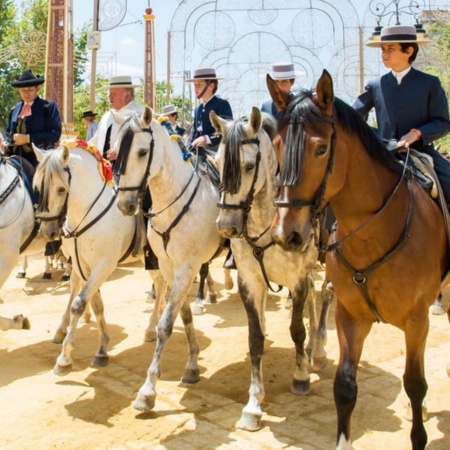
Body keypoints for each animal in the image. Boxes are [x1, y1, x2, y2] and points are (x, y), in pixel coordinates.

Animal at [33, 142, 165, 376]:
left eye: (61, 189)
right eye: (38, 188)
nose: (48, 232)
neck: (86, 213)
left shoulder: (103, 266)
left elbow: (78, 304)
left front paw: (64, 359)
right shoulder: (84, 267)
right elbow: (96, 305)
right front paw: (102, 349)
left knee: (164, 284)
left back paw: (153, 326)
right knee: (160, 284)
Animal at [114, 104, 227, 412]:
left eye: (142, 152)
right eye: (116, 151)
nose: (126, 205)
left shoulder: (186, 267)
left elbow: (167, 324)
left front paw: (147, 389)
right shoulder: (169, 267)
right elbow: (182, 315)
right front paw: (192, 364)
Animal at [210, 107, 330, 430]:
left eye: (249, 165)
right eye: (217, 163)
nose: (227, 226)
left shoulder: (297, 280)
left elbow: (296, 329)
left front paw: (301, 377)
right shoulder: (250, 282)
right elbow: (255, 338)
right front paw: (253, 404)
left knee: (327, 297)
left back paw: (319, 347)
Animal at [268, 68, 448, 448]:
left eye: (321, 148)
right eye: (276, 146)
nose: (286, 233)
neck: (375, 231)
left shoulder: (417, 320)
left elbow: (414, 383)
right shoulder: (350, 315)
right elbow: (346, 385)